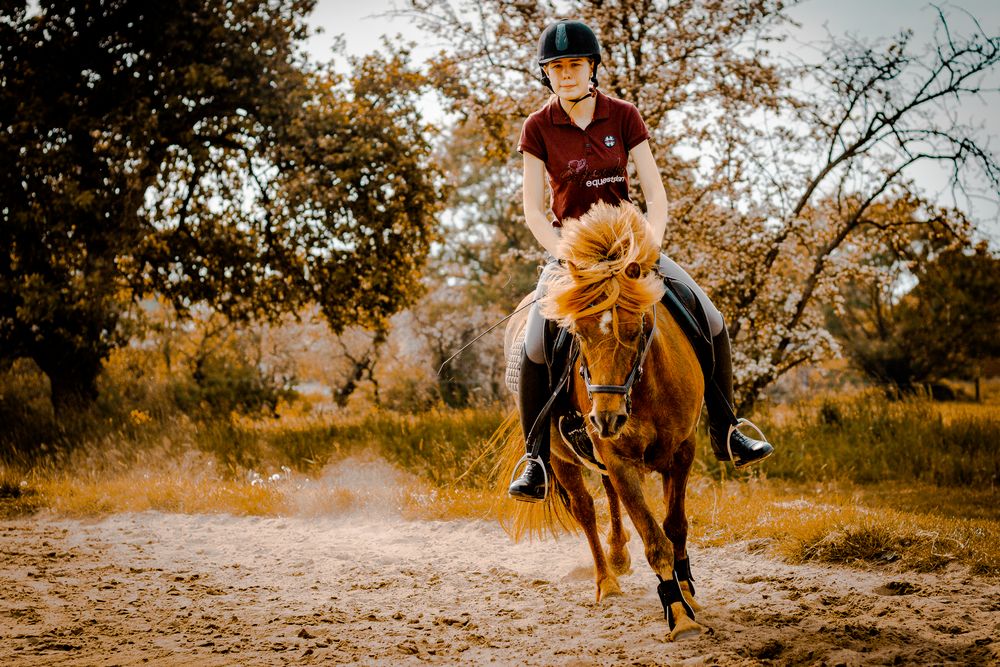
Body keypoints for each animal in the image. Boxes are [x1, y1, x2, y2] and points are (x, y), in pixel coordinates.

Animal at [498, 202, 704, 640]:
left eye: (638, 328)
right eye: (578, 332)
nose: (607, 418)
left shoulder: (682, 450)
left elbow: (675, 526)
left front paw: (688, 593)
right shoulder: (620, 459)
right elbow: (655, 539)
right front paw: (678, 614)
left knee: (607, 496)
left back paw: (619, 555)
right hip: (562, 459)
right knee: (585, 510)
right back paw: (606, 582)